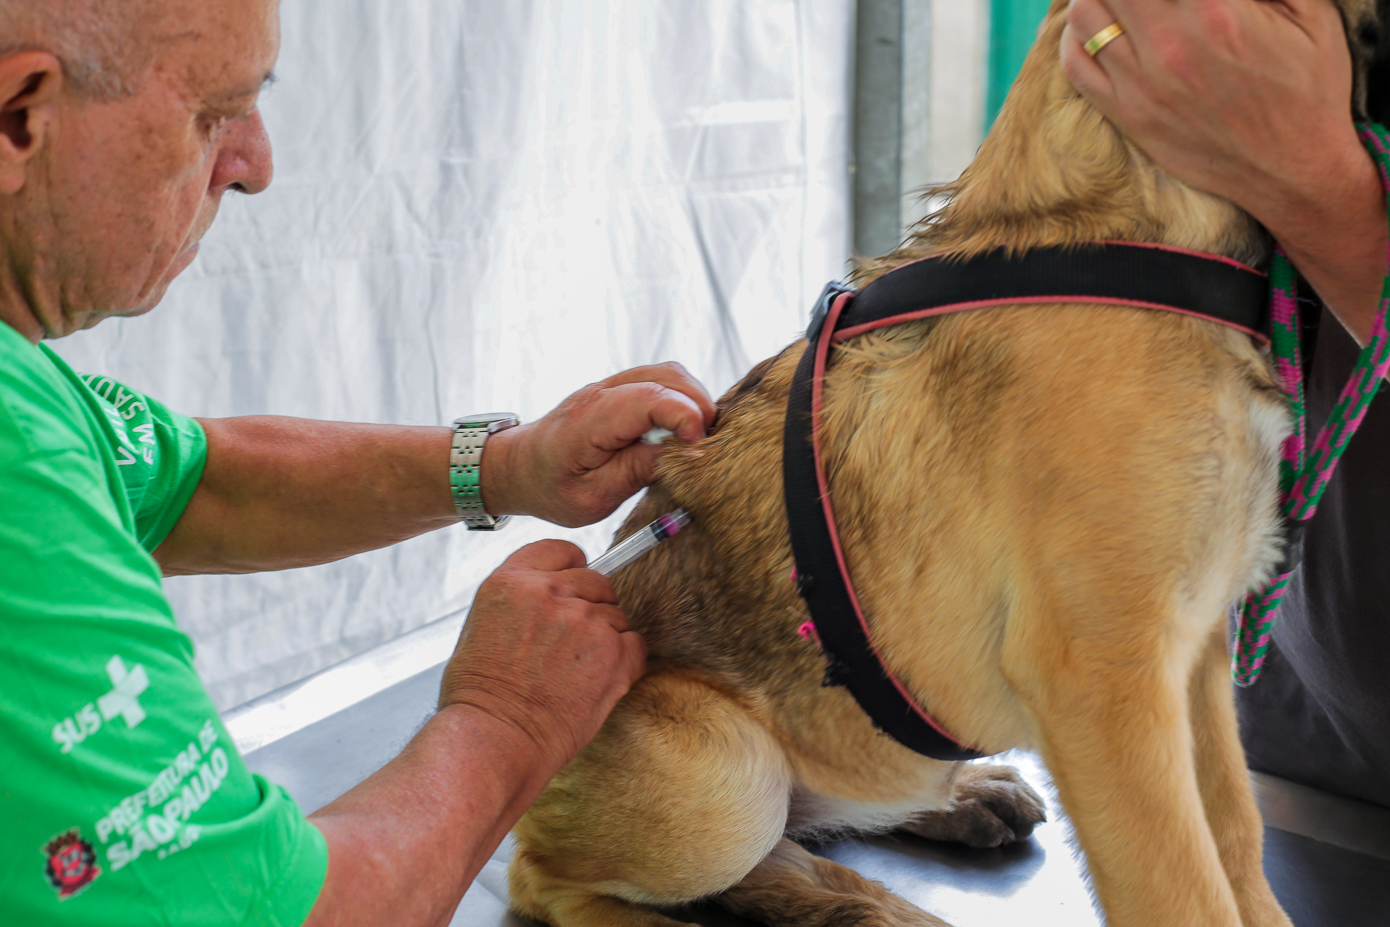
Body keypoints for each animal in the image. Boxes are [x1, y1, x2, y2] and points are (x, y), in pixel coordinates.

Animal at [503, 3, 1378, 922]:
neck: (1116, 230)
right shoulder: (1111, 680)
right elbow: (1186, 888)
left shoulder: (1197, 656)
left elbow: (1237, 840)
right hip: (723, 778)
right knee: (549, 874)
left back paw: (929, 833)